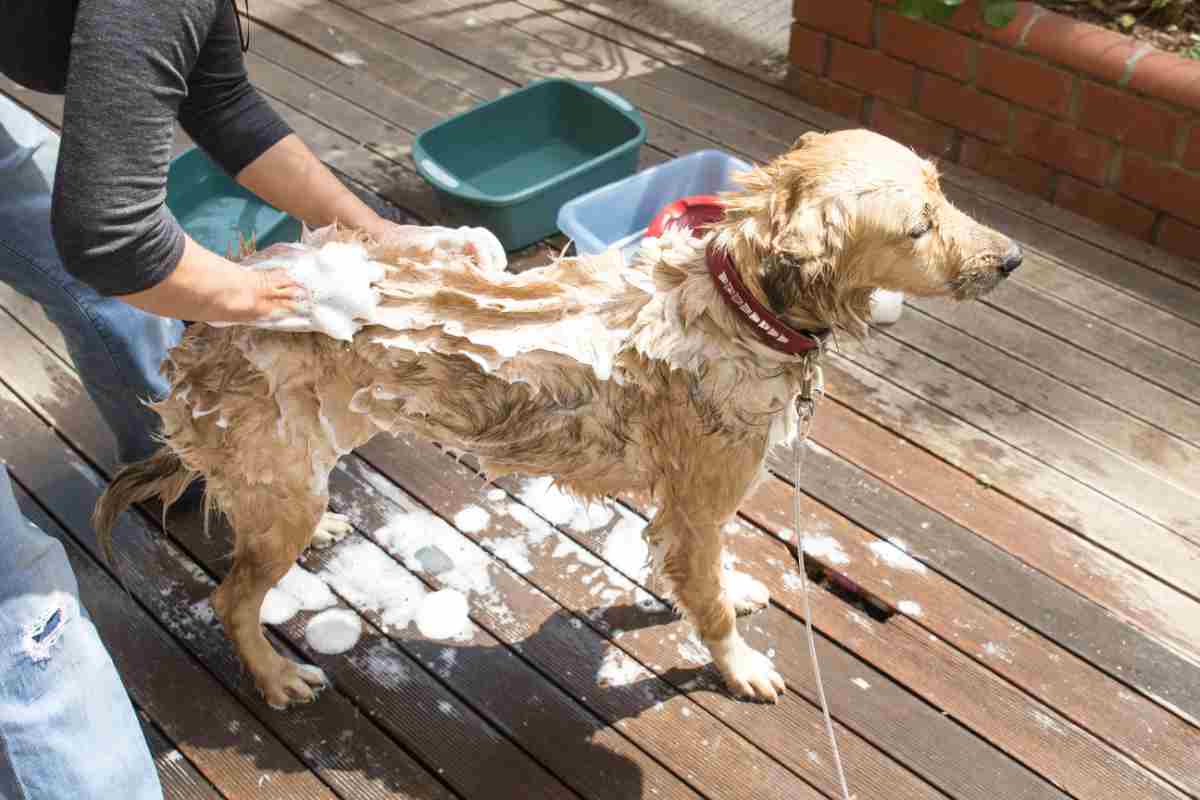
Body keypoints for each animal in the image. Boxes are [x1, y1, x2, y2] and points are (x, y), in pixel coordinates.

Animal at [91, 128, 1022, 710]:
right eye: (919, 227)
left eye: (945, 197)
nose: (1011, 258)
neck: (740, 303)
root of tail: (204, 326)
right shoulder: (695, 508)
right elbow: (709, 608)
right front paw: (740, 667)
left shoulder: (683, 516)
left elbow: (705, 582)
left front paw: (735, 592)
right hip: (271, 478)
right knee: (232, 596)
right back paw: (277, 678)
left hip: (299, 457)